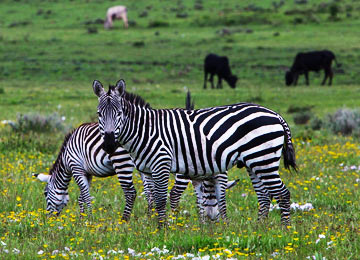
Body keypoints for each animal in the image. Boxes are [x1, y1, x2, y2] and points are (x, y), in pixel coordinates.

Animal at [94, 79, 296, 225]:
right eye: (99, 114)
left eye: (119, 113)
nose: (109, 145)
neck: (146, 130)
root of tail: (276, 114)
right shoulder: (147, 170)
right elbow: (151, 198)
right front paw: (153, 227)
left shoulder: (161, 164)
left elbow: (160, 199)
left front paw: (162, 229)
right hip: (253, 162)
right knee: (264, 195)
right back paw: (259, 228)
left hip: (263, 159)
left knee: (282, 194)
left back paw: (284, 230)